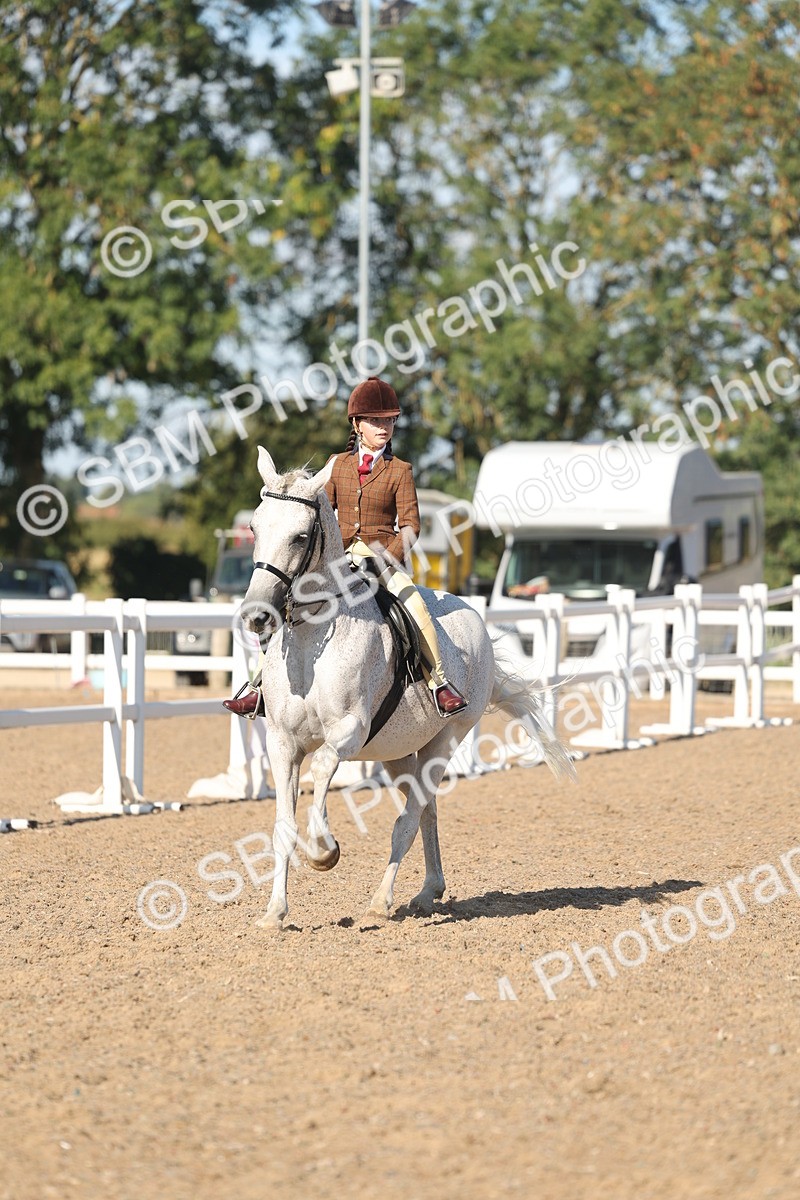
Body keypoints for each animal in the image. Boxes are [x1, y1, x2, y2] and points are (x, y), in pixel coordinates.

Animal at [241, 446, 576, 930]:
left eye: (301, 537)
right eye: (254, 526)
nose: (256, 616)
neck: (314, 642)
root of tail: (475, 619)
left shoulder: (348, 731)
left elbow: (322, 767)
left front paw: (325, 852)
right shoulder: (283, 742)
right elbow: (283, 827)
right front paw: (274, 914)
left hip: (446, 738)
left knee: (409, 817)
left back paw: (383, 901)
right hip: (399, 752)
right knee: (425, 807)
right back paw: (428, 891)